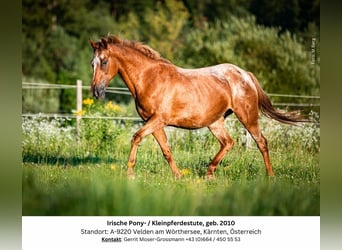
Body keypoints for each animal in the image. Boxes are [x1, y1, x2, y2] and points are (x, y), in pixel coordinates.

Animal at [89, 35, 306, 180]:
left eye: (105, 62)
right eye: (92, 63)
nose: (96, 92)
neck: (150, 78)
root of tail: (245, 74)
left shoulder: (158, 119)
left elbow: (136, 137)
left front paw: (130, 173)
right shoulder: (153, 122)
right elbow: (166, 150)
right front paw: (178, 176)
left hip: (247, 116)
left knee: (261, 142)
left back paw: (270, 176)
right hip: (215, 122)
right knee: (228, 142)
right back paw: (209, 173)